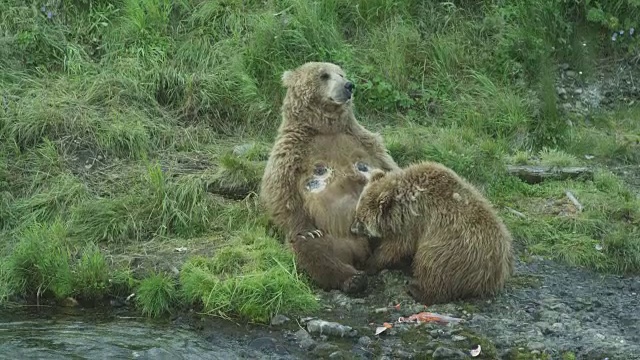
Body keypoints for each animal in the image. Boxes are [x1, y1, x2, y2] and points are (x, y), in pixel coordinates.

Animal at [258, 61, 398, 292]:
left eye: (341, 73)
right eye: (324, 75)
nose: (349, 85)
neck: (326, 125)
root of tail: (363, 252)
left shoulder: (366, 140)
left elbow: (390, 168)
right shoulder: (291, 149)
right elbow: (279, 190)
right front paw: (305, 229)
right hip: (335, 239)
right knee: (317, 251)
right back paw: (354, 279)